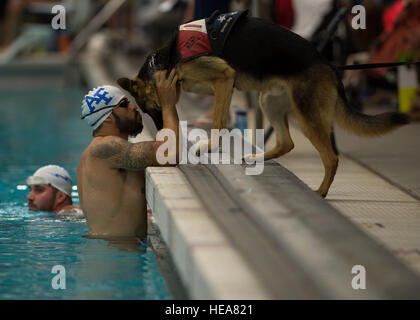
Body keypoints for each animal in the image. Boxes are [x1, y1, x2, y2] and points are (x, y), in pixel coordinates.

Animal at [118, 10, 410, 198]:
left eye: (149, 109)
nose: (160, 131)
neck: (167, 59)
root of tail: (329, 64)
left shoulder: (224, 77)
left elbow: (219, 120)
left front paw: (210, 145)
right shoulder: (224, 85)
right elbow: (221, 117)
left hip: (306, 116)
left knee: (331, 158)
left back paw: (320, 191)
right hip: (268, 100)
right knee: (287, 143)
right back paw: (256, 157)